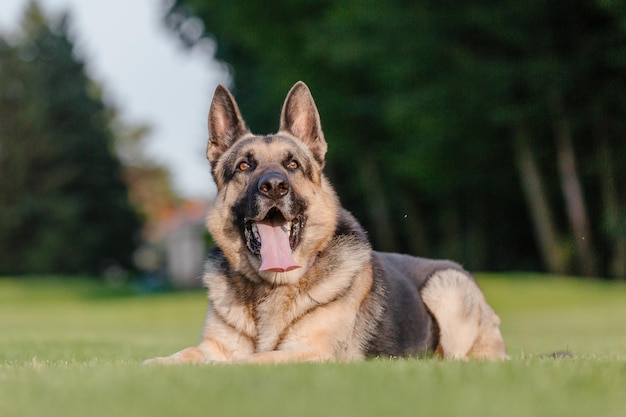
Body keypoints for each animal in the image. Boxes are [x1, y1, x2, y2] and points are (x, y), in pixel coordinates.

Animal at [144, 82, 504, 364]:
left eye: (292, 165)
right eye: (245, 166)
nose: (274, 187)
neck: (270, 287)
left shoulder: (311, 352)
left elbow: (250, 360)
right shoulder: (213, 347)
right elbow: (183, 356)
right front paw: (150, 367)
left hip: (446, 286)